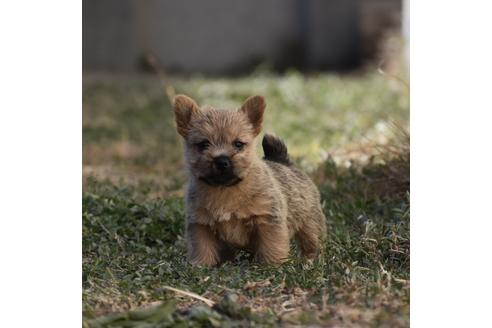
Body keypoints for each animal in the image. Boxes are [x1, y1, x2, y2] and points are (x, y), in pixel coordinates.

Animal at [173, 93, 326, 266]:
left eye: (238, 144)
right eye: (203, 144)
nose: (221, 161)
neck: (225, 189)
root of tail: (284, 162)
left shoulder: (267, 220)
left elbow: (272, 245)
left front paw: (272, 265)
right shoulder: (201, 225)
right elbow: (203, 248)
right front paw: (201, 265)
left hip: (310, 222)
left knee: (311, 240)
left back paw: (310, 260)